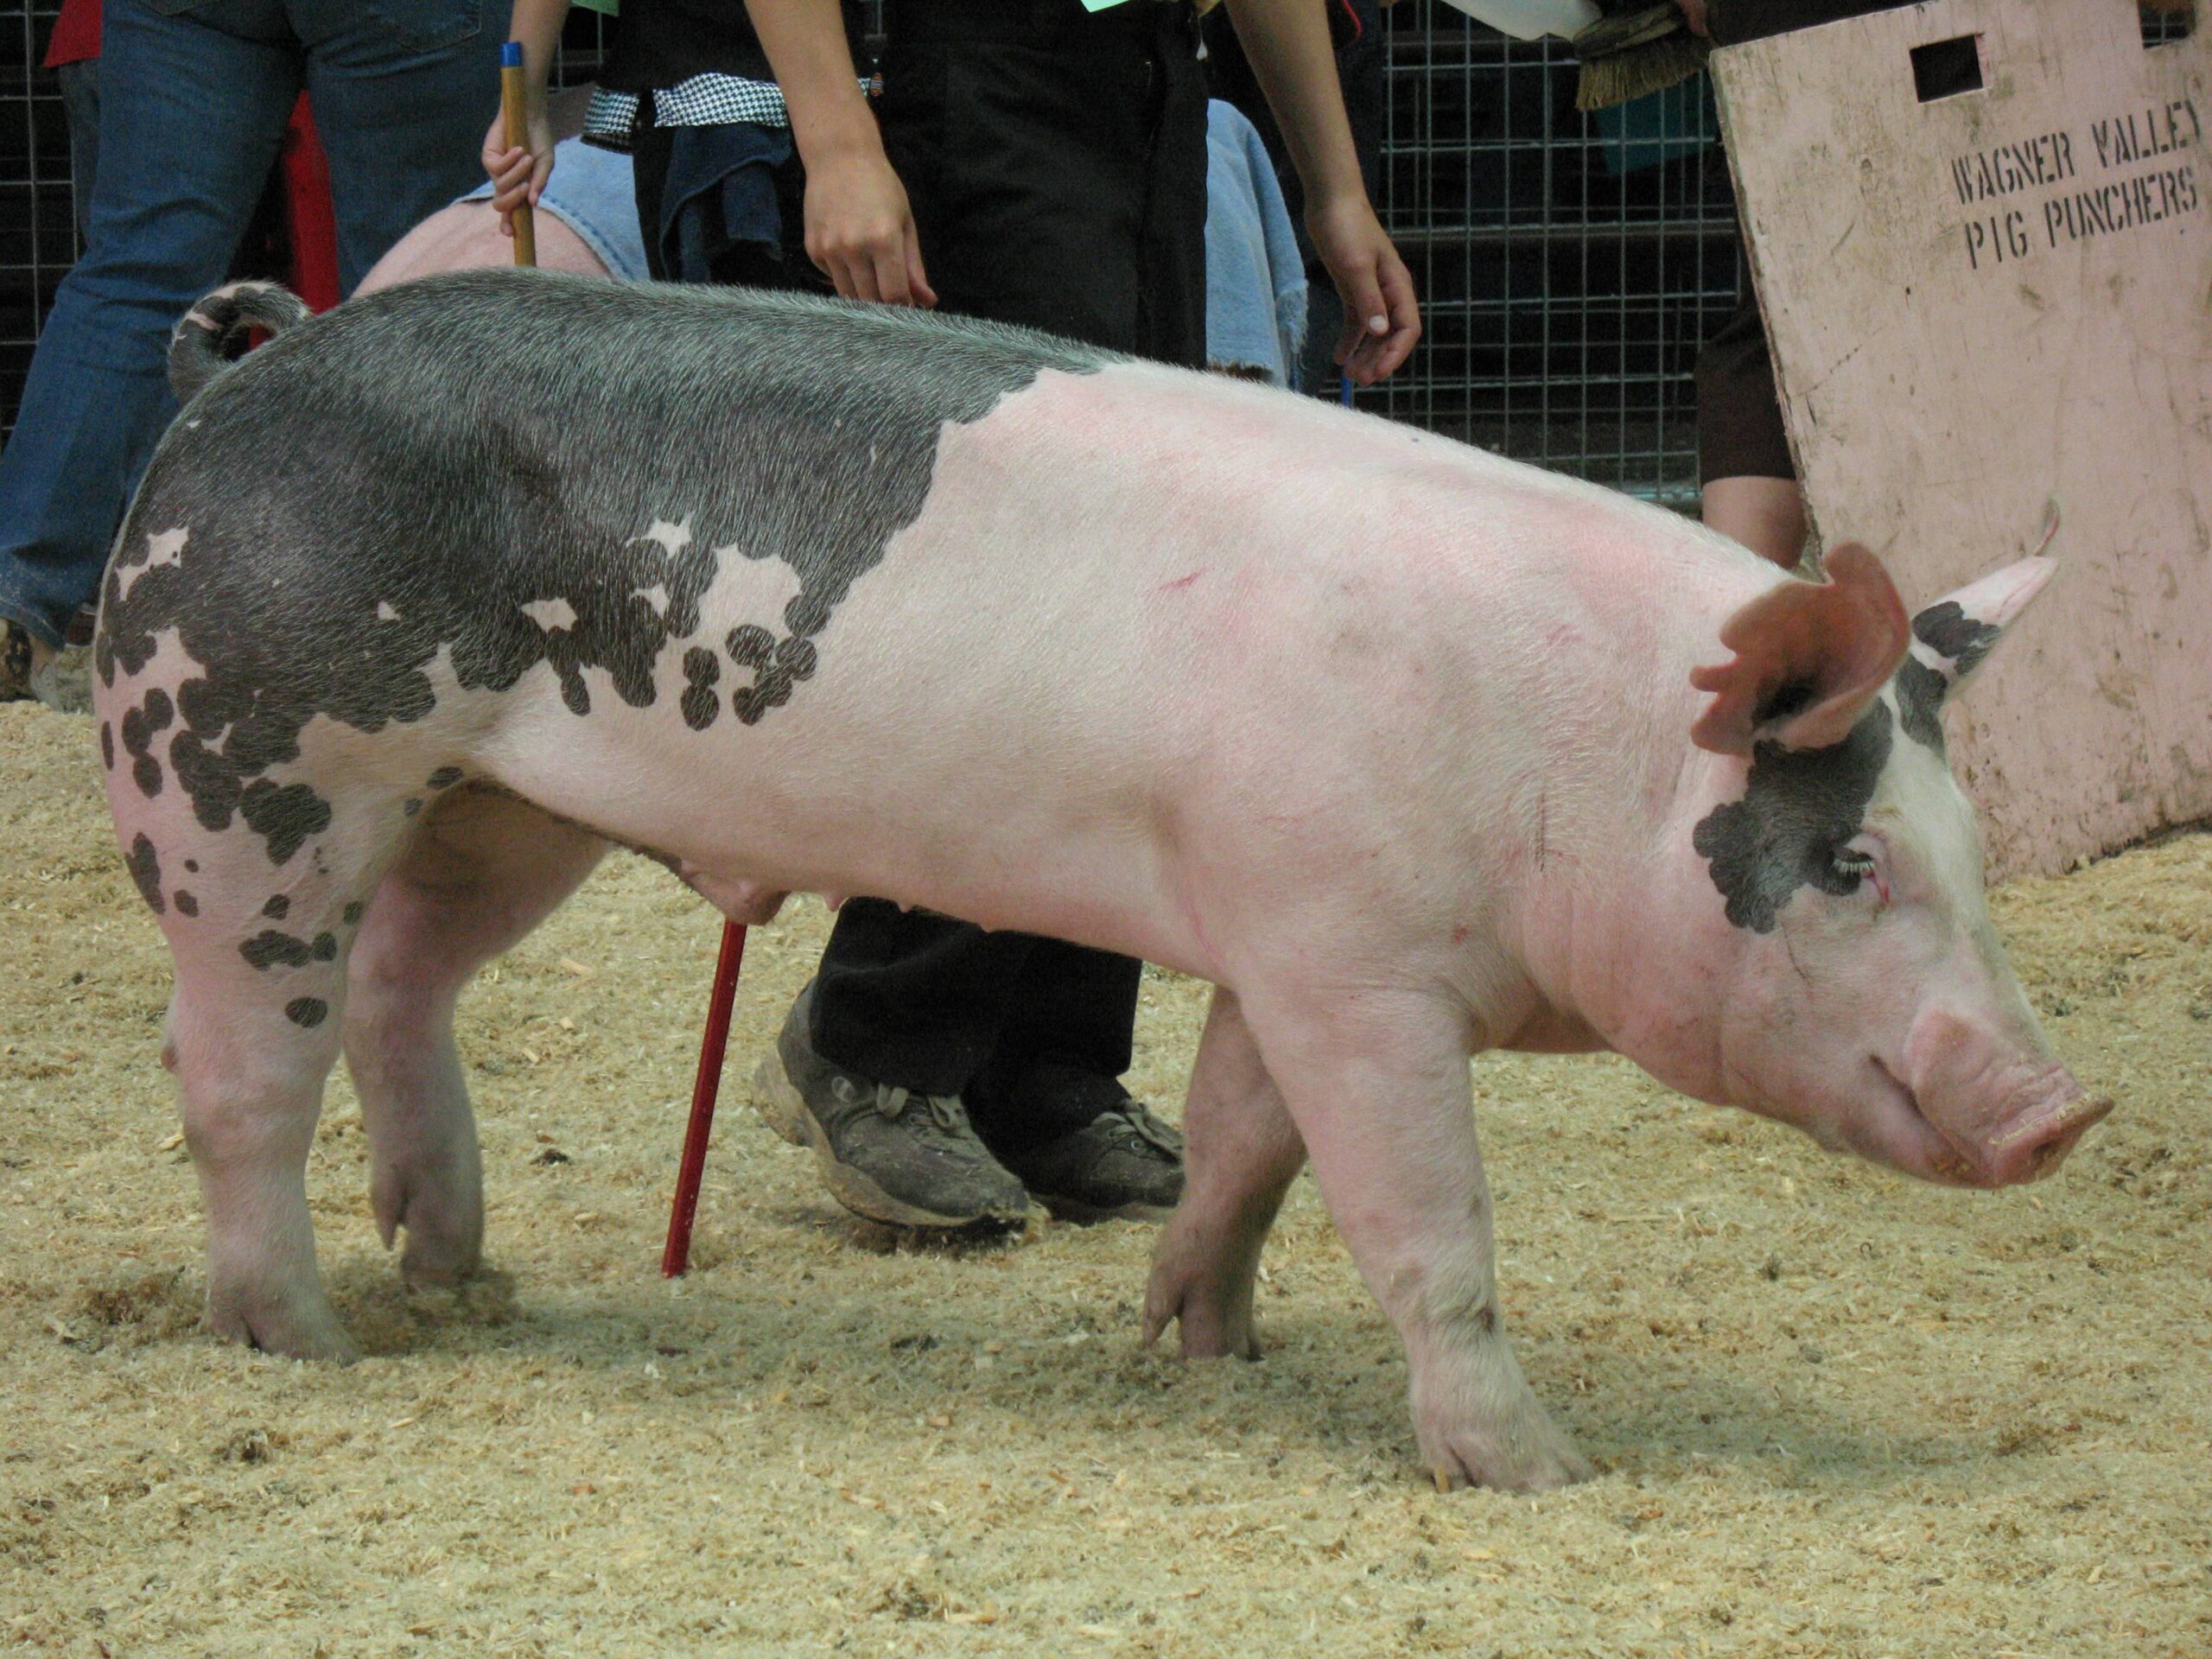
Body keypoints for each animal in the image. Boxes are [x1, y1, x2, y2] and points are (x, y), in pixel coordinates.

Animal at [96, 270, 2108, 1492]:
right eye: (1845, 861)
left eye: (1969, 851)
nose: (2058, 1110)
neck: (1554, 745)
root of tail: (235, 376)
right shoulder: (1360, 965)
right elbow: (1424, 1220)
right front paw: (1539, 1471)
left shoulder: (1274, 932)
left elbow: (1239, 1153)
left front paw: (1200, 1345)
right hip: (246, 773)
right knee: (235, 1069)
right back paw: (307, 1345)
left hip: (499, 807)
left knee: (401, 983)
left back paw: (466, 1280)